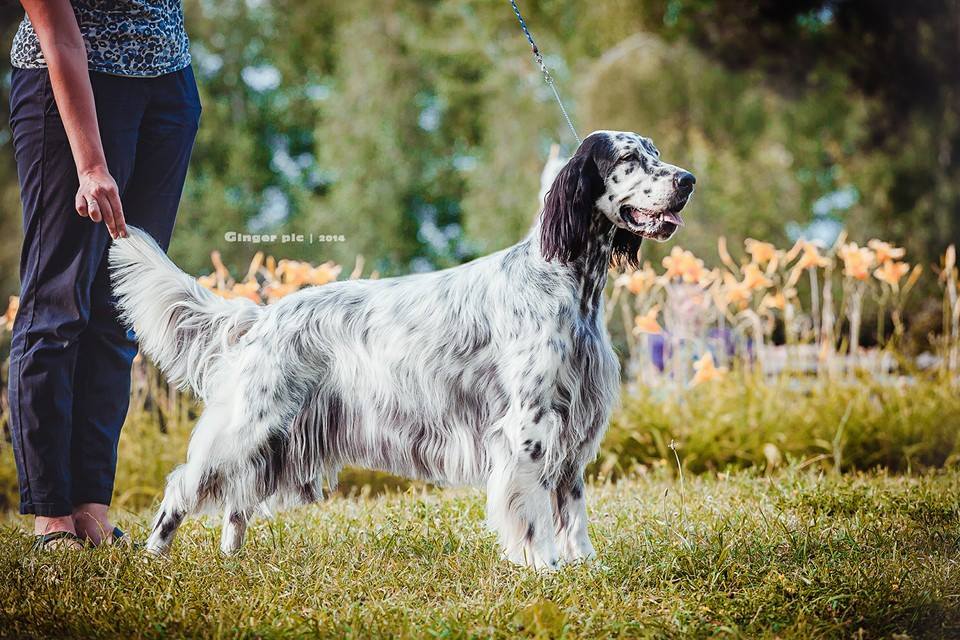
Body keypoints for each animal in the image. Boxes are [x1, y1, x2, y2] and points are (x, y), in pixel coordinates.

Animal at [110, 130, 696, 568]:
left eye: (656, 153)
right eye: (628, 159)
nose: (688, 180)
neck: (567, 282)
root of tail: (263, 316)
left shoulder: (572, 426)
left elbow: (571, 508)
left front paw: (582, 565)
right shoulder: (528, 426)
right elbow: (532, 513)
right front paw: (543, 567)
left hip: (273, 437)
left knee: (238, 500)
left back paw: (232, 559)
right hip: (247, 424)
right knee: (183, 486)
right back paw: (152, 555)